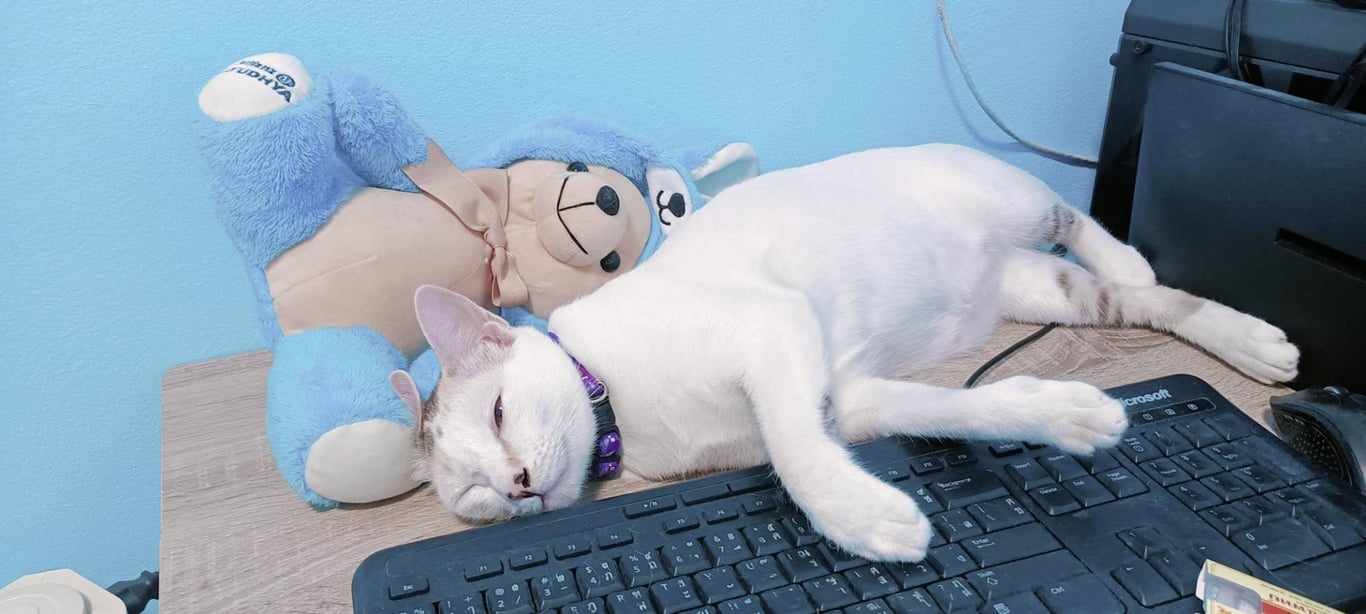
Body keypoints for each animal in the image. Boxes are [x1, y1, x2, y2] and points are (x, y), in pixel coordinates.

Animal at [389, 143, 1299, 563]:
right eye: (472, 495)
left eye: (500, 414)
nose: (515, 485)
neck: (618, 409)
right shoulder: (845, 399)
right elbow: (964, 409)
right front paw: (1063, 415)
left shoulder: (774, 332)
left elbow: (795, 459)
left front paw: (861, 518)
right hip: (1043, 292)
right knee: (1142, 302)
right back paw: (1248, 340)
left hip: (1015, 200)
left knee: (1075, 216)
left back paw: (1134, 258)